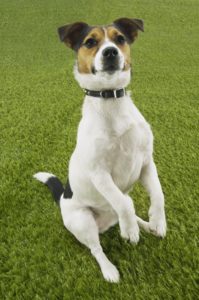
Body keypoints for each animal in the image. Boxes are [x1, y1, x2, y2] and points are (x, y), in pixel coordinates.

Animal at [34, 17, 166, 282]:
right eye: (90, 42)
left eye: (120, 39)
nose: (111, 52)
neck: (111, 100)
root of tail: (62, 197)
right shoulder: (99, 173)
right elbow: (123, 204)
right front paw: (130, 232)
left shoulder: (147, 162)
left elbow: (158, 194)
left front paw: (158, 221)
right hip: (83, 222)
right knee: (97, 247)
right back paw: (110, 268)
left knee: (128, 208)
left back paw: (145, 225)